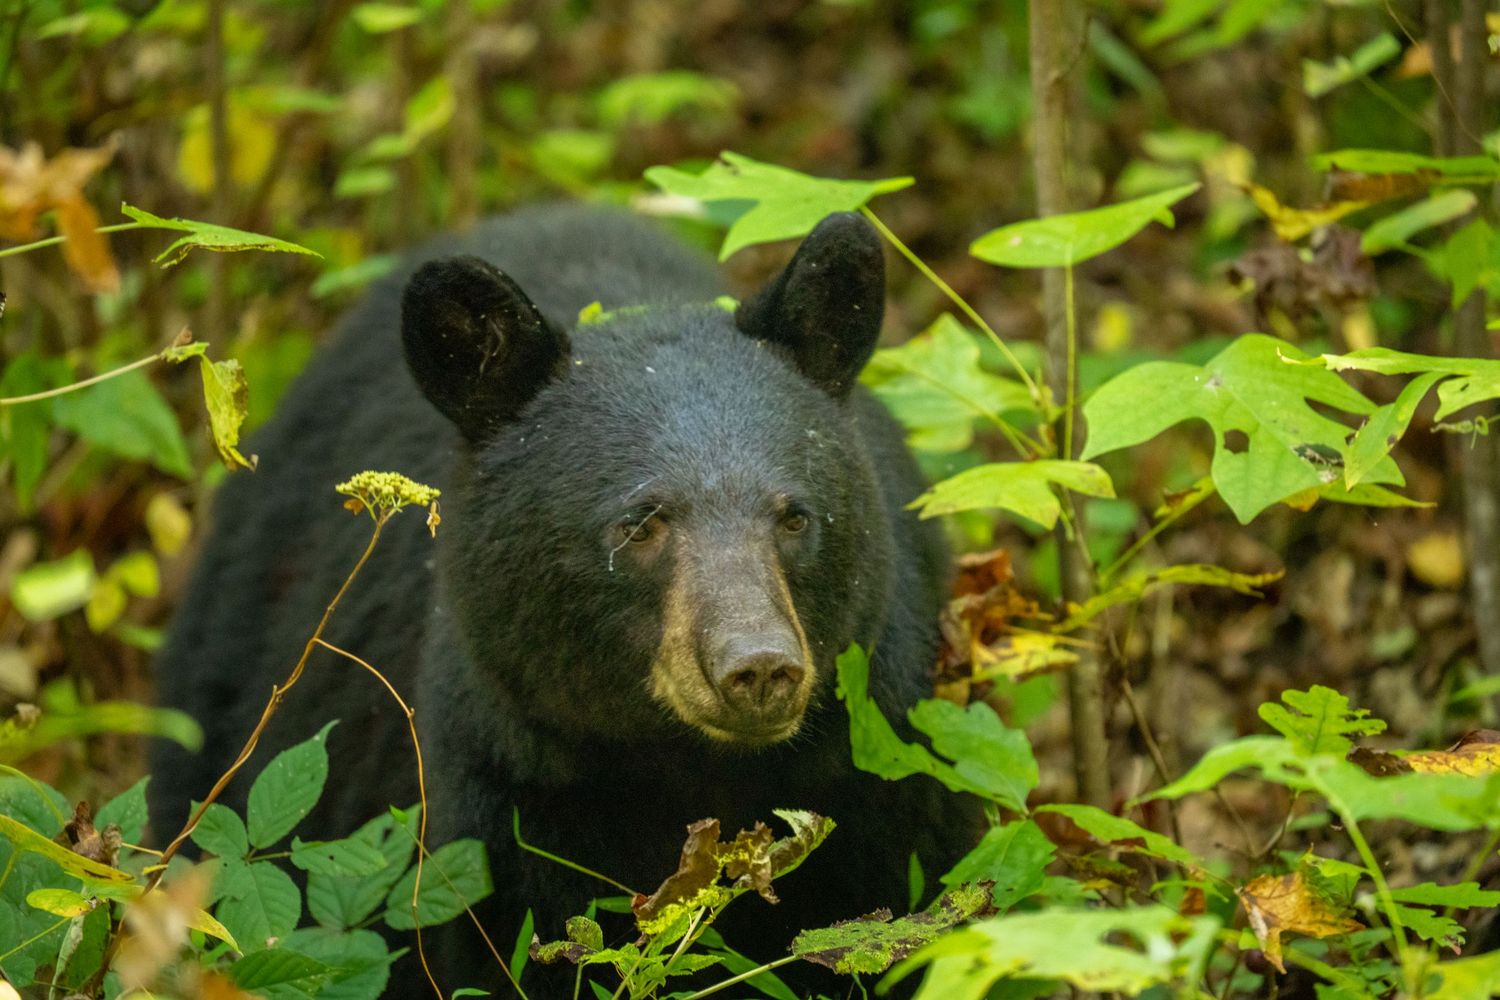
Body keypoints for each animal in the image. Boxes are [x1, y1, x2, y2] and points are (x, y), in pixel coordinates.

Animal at [150, 205, 976, 997]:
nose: (760, 667)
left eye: (795, 516)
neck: (698, 772)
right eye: (640, 523)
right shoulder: (514, 801)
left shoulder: (878, 766)